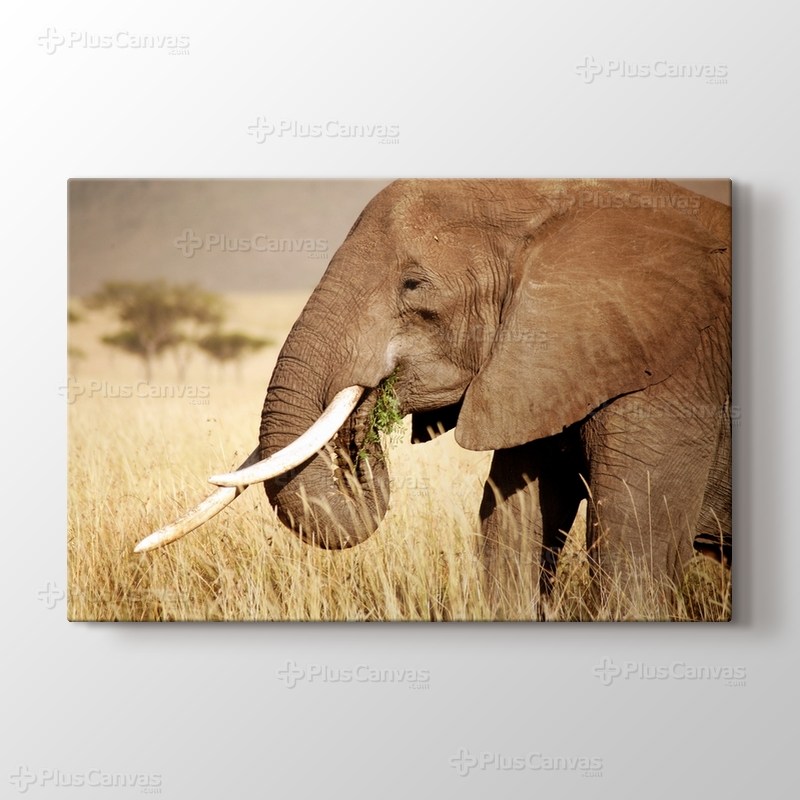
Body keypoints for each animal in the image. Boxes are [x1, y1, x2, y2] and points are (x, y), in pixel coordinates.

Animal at [136, 179, 731, 615]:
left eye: (414, 285)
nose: (366, 424)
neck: (553, 199)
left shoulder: (677, 378)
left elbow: (635, 566)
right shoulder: (540, 372)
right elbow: (510, 533)